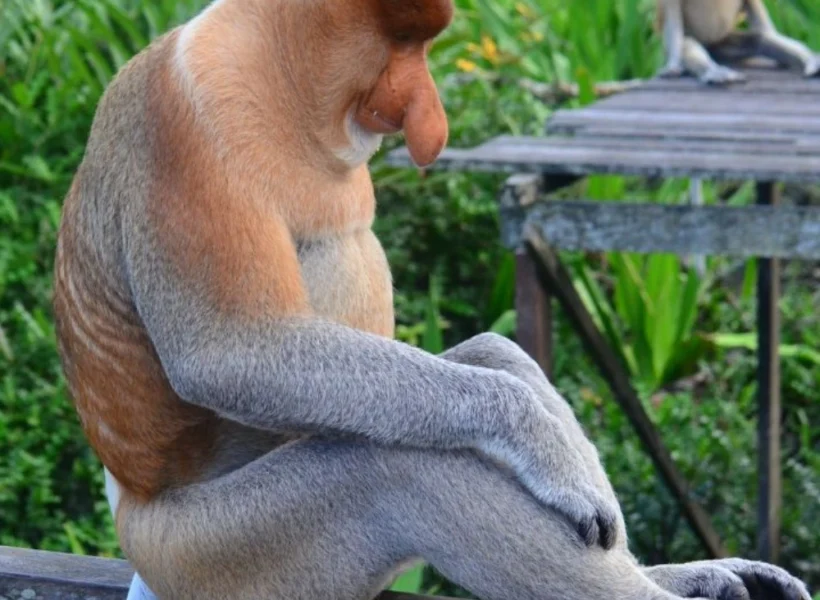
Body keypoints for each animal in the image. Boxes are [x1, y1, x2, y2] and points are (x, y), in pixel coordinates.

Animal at [656, 0, 820, 84]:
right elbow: (672, 10)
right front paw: (672, 67)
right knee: (688, 45)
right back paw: (717, 73)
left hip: (724, 41)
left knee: (760, 39)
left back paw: (810, 61)